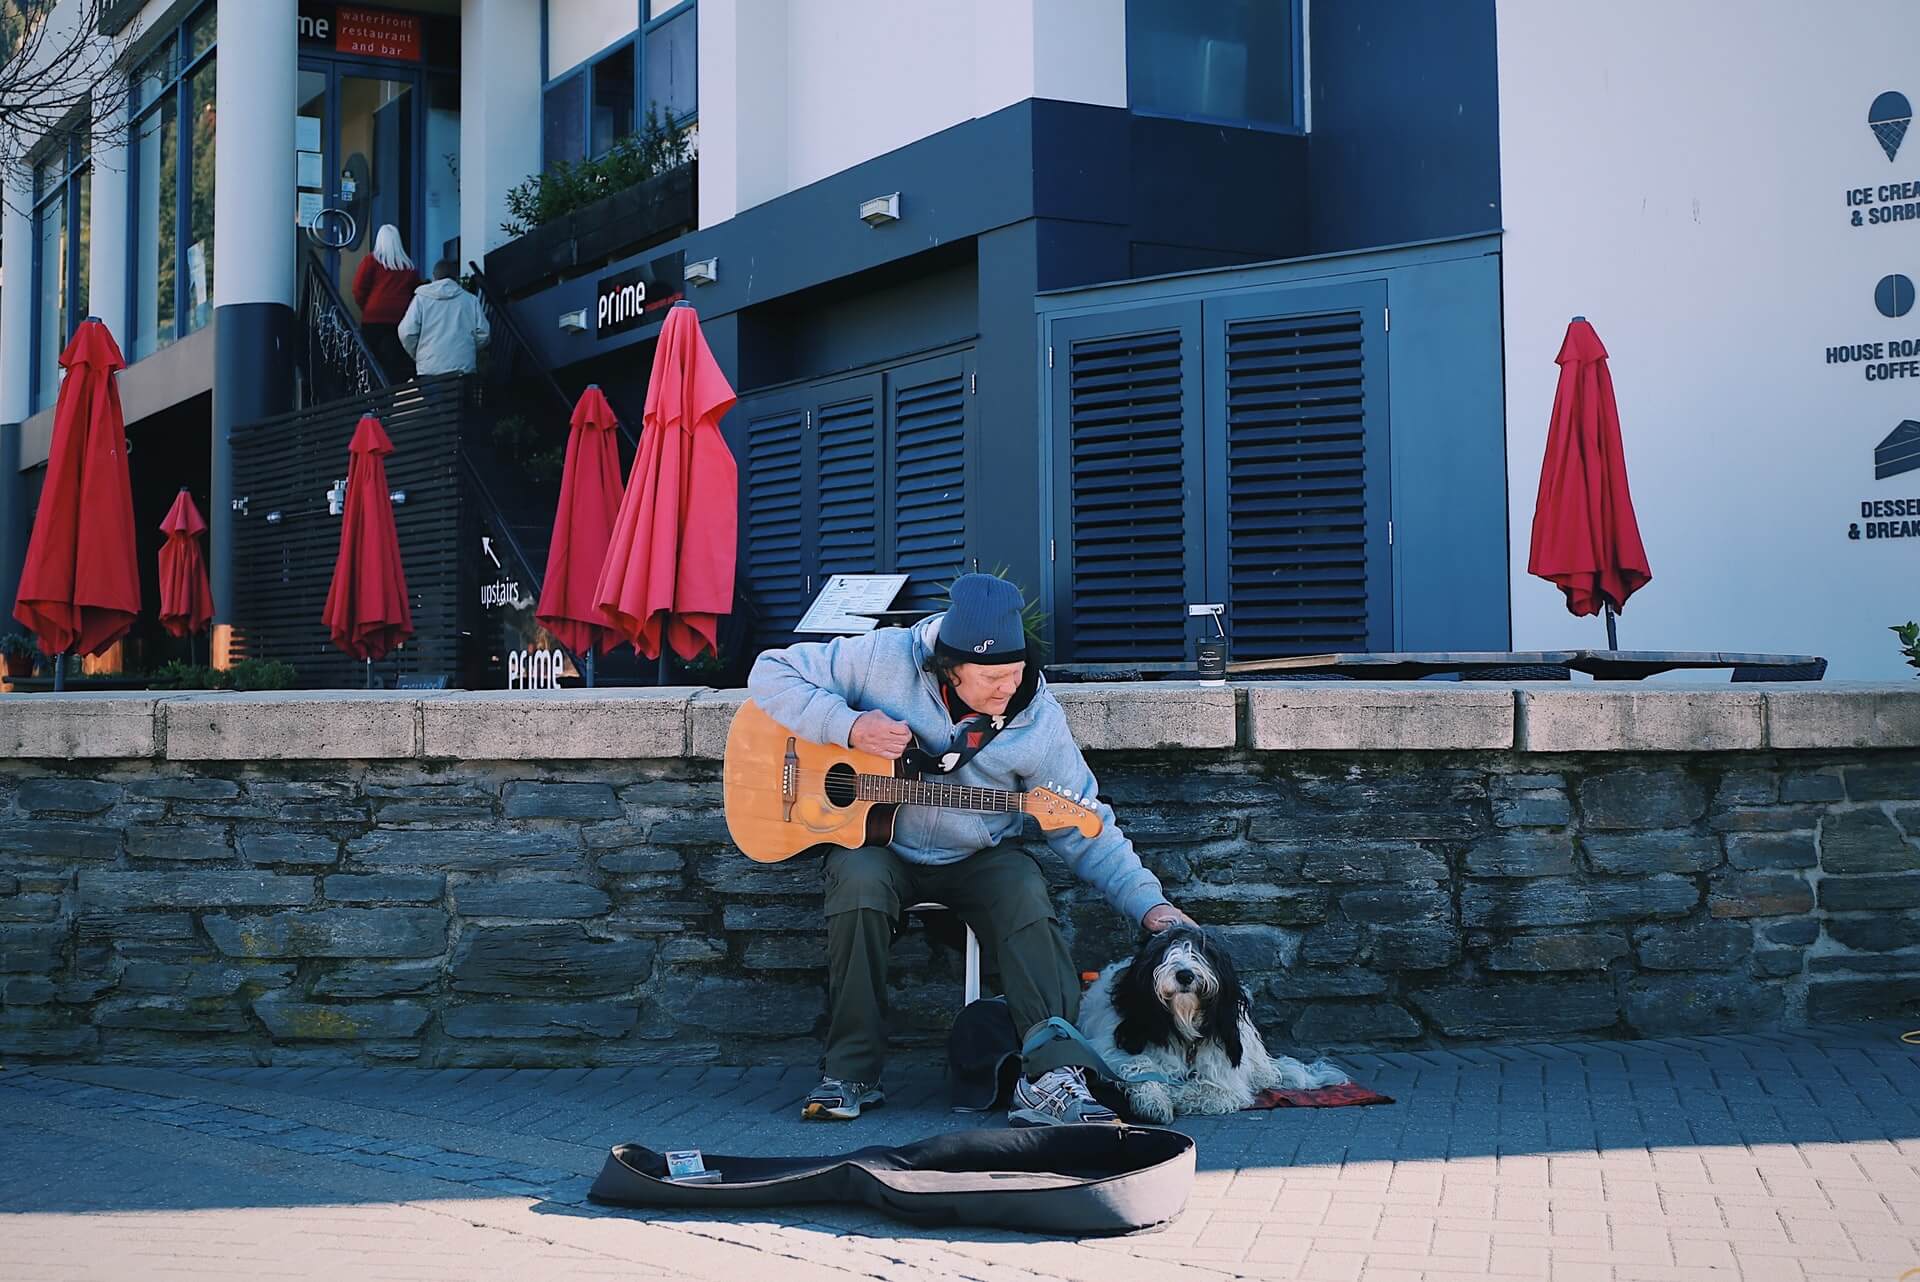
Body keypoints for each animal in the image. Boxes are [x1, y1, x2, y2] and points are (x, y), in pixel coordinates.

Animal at [1082, 925, 1351, 1113]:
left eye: (1200, 953)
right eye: (1167, 952)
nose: (1185, 975)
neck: (1184, 1030)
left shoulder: (1226, 1075)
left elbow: (1214, 1091)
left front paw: (1176, 1094)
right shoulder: (1112, 1051)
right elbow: (1140, 1068)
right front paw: (1155, 1100)